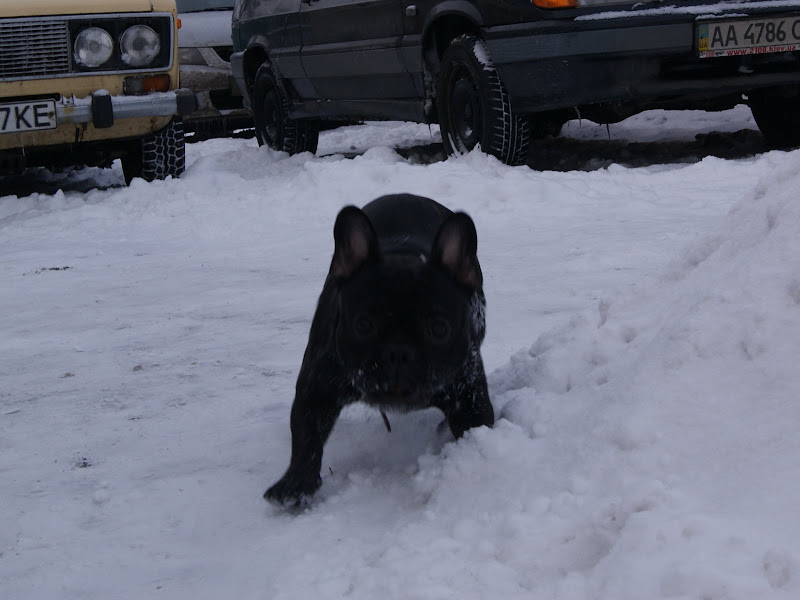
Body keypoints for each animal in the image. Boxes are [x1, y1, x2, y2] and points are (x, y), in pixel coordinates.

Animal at [265, 194, 494, 506]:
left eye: (439, 329)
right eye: (363, 324)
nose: (398, 353)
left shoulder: (468, 395)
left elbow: (473, 427)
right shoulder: (317, 388)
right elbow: (306, 436)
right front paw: (295, 486)